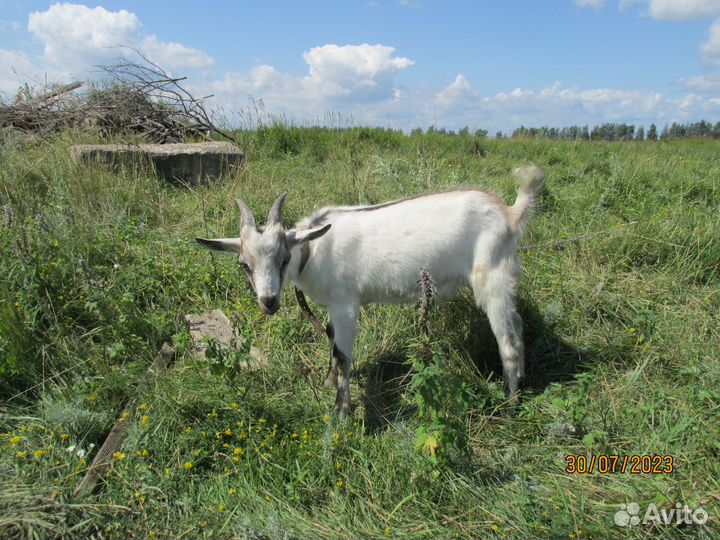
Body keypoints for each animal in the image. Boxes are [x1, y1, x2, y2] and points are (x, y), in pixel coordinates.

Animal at [196, 165, 545, 414]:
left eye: (284, 258)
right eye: (244, 264)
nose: (268, 301)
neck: (313, 248)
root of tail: (510, 213)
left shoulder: (346, 304)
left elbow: (342, 355)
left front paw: (341, 413)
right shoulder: (333, 308)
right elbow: (331, 340)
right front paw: (328, 383)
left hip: (492, 278)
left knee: (508, 341)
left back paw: (509, 404)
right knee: (518, 326)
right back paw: (520, 384)